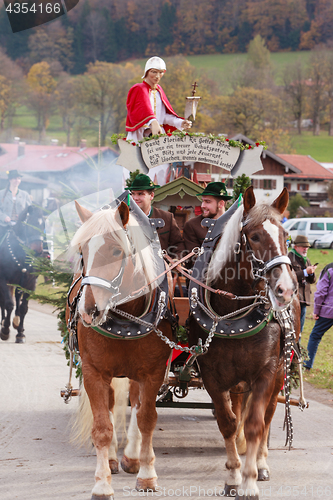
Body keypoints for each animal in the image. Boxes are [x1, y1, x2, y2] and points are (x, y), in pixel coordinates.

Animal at [0, 205, 45, 342]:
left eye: (43, 225)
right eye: (30, 223)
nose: (37, 251)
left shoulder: (30, 283)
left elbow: (24, 307)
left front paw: (20, 333)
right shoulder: (4, 280)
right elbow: (9, 304)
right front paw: (5, 329)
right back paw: (4, 321)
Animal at [66, 200, 172, 500]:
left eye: (116, 251)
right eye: (83, 251)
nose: (88, 311)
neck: (127, 317)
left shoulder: (153, 372)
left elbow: (147, 418)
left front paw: (147, 475)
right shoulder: (94, 372)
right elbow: (102, 426)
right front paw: (102, 484)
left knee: (135, 403)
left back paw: (132, 457)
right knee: (114, 404)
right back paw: (114, 459)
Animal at [187, 188, 298, 500]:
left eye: (285, 235)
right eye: (255, 236)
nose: (286, 289)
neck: (232, 315)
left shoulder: (266, 373)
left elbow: (255, 425)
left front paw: (249, 481)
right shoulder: (213, 376)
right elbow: (228, 423)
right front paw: (234, 476)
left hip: (280, 374)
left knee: (269, 415)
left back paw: (261, 464)